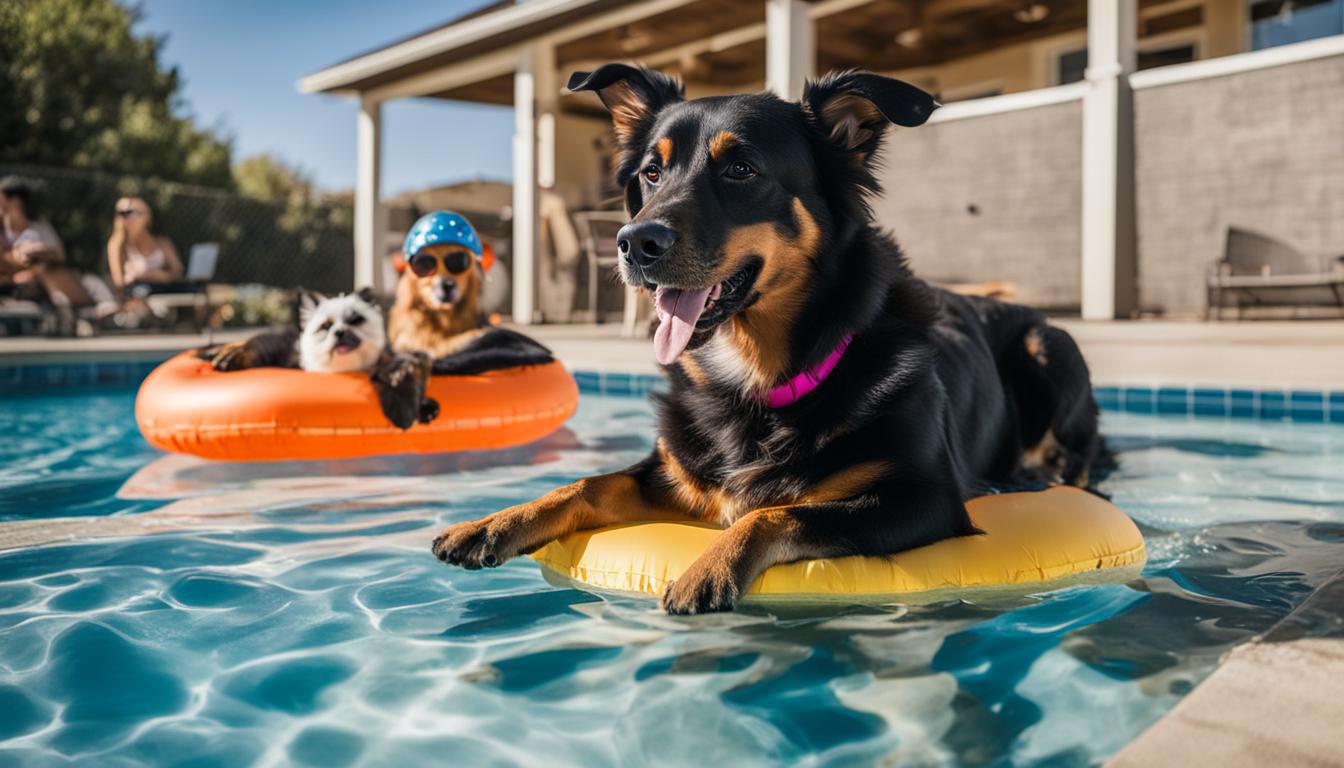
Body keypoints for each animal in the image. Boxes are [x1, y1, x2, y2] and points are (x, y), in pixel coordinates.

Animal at [430, 67, 1102, 618]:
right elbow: (591, 483)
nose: (631, 243)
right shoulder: (677, 472)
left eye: (740, 169)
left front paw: (709, 566)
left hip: (1050, 343)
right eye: (652, 171)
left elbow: (772, 509)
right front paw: (494, 523)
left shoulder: (924, 500)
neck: (760, 376)